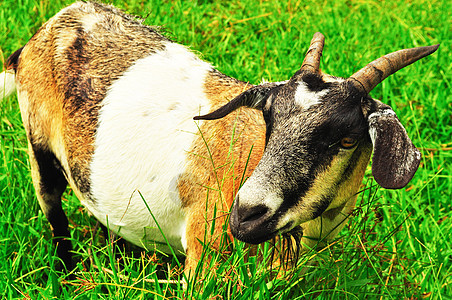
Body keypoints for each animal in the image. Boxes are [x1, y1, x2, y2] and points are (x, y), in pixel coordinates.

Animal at [0, 1, 438, 276]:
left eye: (346, 140)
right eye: (269, 120)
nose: (244, 215)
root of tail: (46, 30)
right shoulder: (203, 248)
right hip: (39, 149)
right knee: (54, 213)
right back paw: (67, 272)